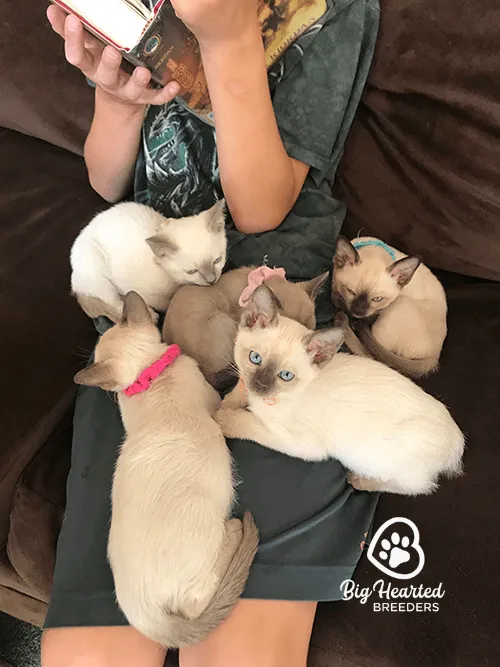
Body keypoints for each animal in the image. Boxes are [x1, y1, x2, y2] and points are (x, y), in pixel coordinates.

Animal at [70, 200, 227, 322]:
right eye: (192, 271)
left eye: (217, 260)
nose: (212, 280)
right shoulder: (139, 291)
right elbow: (164, 303)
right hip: (96, 266)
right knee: (113, 301)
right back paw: (151, 315)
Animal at [74, 292, 258, 648]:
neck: (150, 373)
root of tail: (149, 620)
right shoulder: (215, 405)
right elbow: (227, 402)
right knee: (196, 603)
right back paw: (234, 530)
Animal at [216, 284, 464, 498]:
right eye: (255, 358)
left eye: (285, 376)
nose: (261, 385)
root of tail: (457, 439)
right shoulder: (246, 382)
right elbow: (236, 391)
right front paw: (228, 402)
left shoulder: (303, 445)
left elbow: (249, 423)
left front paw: (223, 418)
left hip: (375, 458)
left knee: (418, 487)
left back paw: (359, 481)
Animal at [332, 237, 446, 378]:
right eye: (350, 291)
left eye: (377, 299)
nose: (358, 311)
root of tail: (435, 355)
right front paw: (338, 299)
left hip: (397, 305)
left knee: (374, 356)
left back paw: (343, 321)